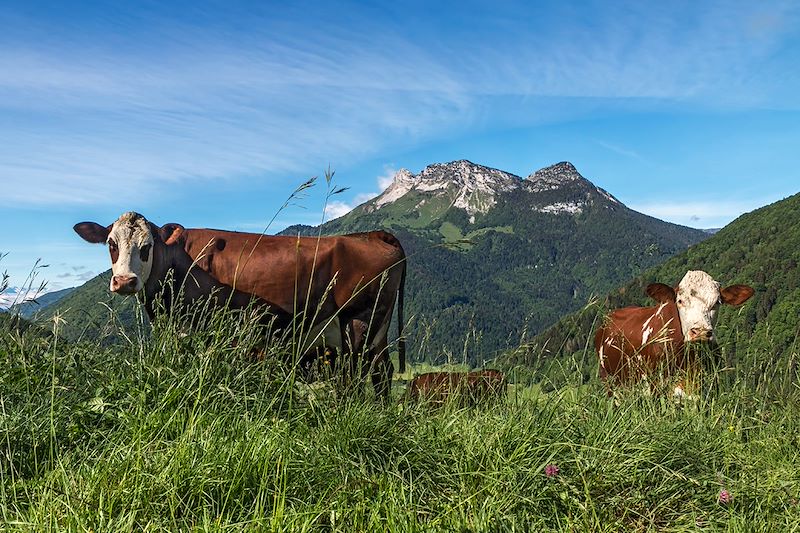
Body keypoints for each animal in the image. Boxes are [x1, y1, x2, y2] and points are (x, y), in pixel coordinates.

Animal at [592, 268, 756, 396]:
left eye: (717, 303)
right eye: (680, 301)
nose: (700, 332)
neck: (689, 358)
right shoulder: (656, 387)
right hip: (610, 382)